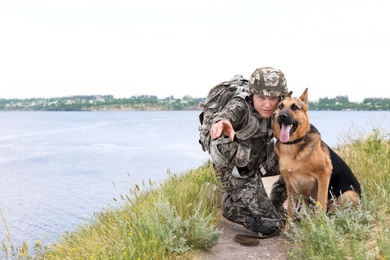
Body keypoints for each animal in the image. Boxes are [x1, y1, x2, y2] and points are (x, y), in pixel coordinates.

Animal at [272, 89, 362, 217]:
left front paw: (320, 221)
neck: (292, 145)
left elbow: (321, 203)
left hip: (348, 195)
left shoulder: (324, 174)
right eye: (280, 106)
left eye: (295, 107)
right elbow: (290, 211)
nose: (282, 116)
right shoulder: (290, 186)